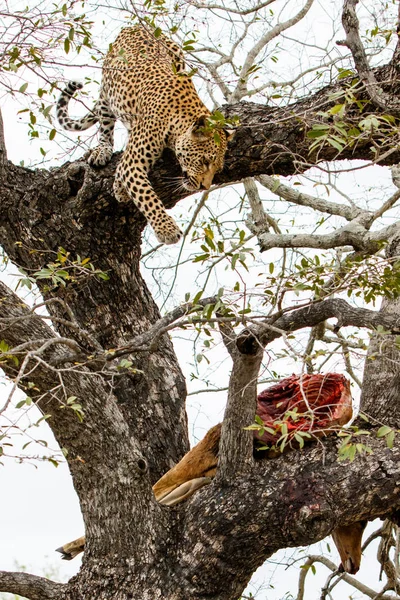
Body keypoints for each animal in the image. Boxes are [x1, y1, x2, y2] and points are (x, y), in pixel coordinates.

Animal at [56, 24, 231, 243]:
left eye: (217, 168)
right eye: (205, 161)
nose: (204, 187)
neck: (179, 120)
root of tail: (135, 25)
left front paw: (119, 188)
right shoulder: (132, 164)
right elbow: (146, 195)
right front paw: (167, 229)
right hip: (107, 91)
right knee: (105, 125)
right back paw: (102, 151)